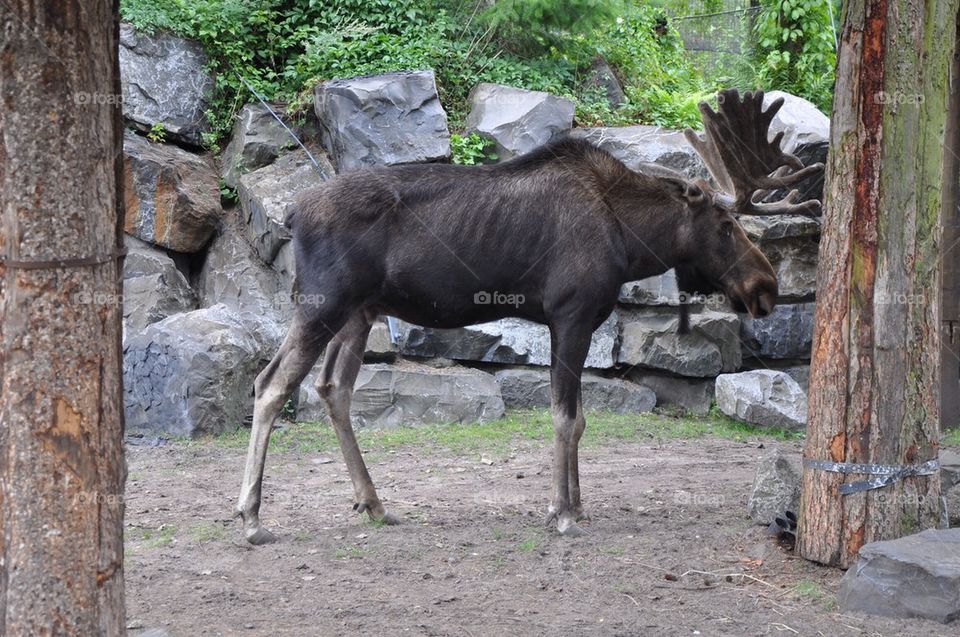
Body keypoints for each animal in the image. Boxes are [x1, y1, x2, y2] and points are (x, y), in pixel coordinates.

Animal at [235, 89, 825, 544]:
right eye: (725, 227)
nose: (766, 287)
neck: (631, 242)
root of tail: (292, 211)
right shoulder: (571, 315)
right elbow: (565, 417)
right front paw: (561, 512)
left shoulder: (578, 322)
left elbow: (579, 418)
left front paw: (577, 504)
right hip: (323, 302)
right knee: (270, 385)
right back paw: (251, 517)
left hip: (360, 312)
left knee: (333, 388)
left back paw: (374, 503)